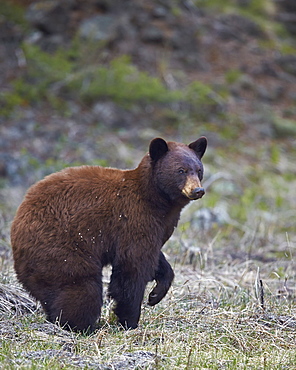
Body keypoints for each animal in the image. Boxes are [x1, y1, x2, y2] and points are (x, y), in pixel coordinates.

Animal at [11, 136, 206, 332]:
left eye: (199, 170)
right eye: (181, 170)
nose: (198, 190)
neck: (155, 198)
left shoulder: (155, 228)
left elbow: (156, 259)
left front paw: (155, 295)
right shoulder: (135, 219)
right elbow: (132, 267)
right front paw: (130, 321)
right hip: (60, 249)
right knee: (82, 290)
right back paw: (83, 325)